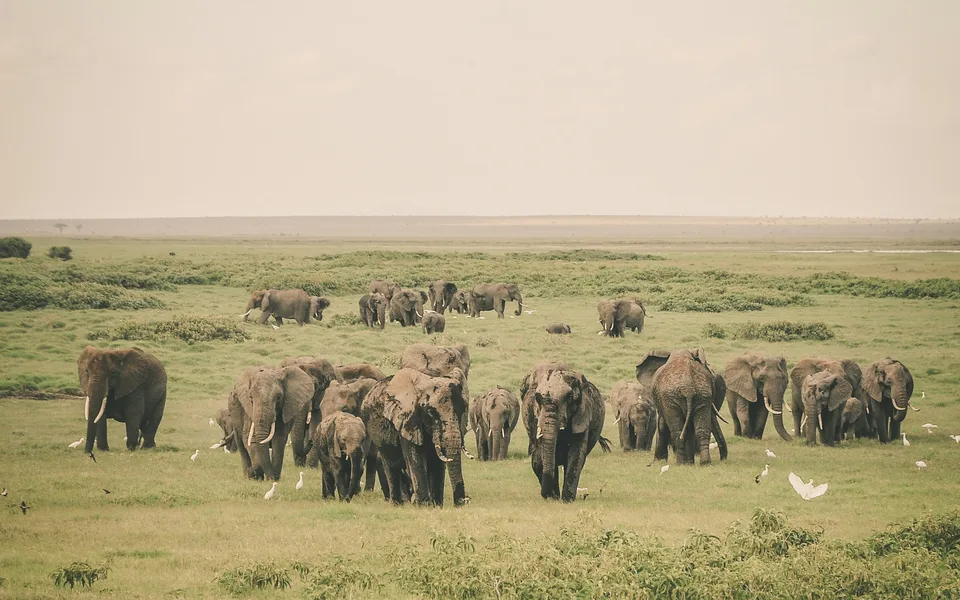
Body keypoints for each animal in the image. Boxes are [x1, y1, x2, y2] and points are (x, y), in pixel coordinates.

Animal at [361, 367, 469, 506]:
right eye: (431, 412)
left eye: (463, 409)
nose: (464, 501)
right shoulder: (408, 421)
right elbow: (416, 457)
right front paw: (425, 505)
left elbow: (437, 462)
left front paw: (437, 505)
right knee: (391, 465)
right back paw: (398, 503)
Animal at [520, 361, 610, 502]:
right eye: (537, 398)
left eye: (569, 398)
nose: (545, 494)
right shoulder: (534, 419)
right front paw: (553, 498)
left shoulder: (583, 416)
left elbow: (576, 453)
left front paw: (567, 500)